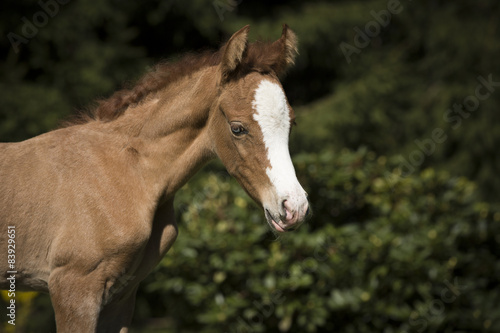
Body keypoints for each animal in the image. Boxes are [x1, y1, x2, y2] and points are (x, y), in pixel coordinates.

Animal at [0, 24, 308, 330]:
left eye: (291, 123)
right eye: (237, 128)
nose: (295, 207)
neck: (130, 172)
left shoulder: (120, 296)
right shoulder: (74, 287)